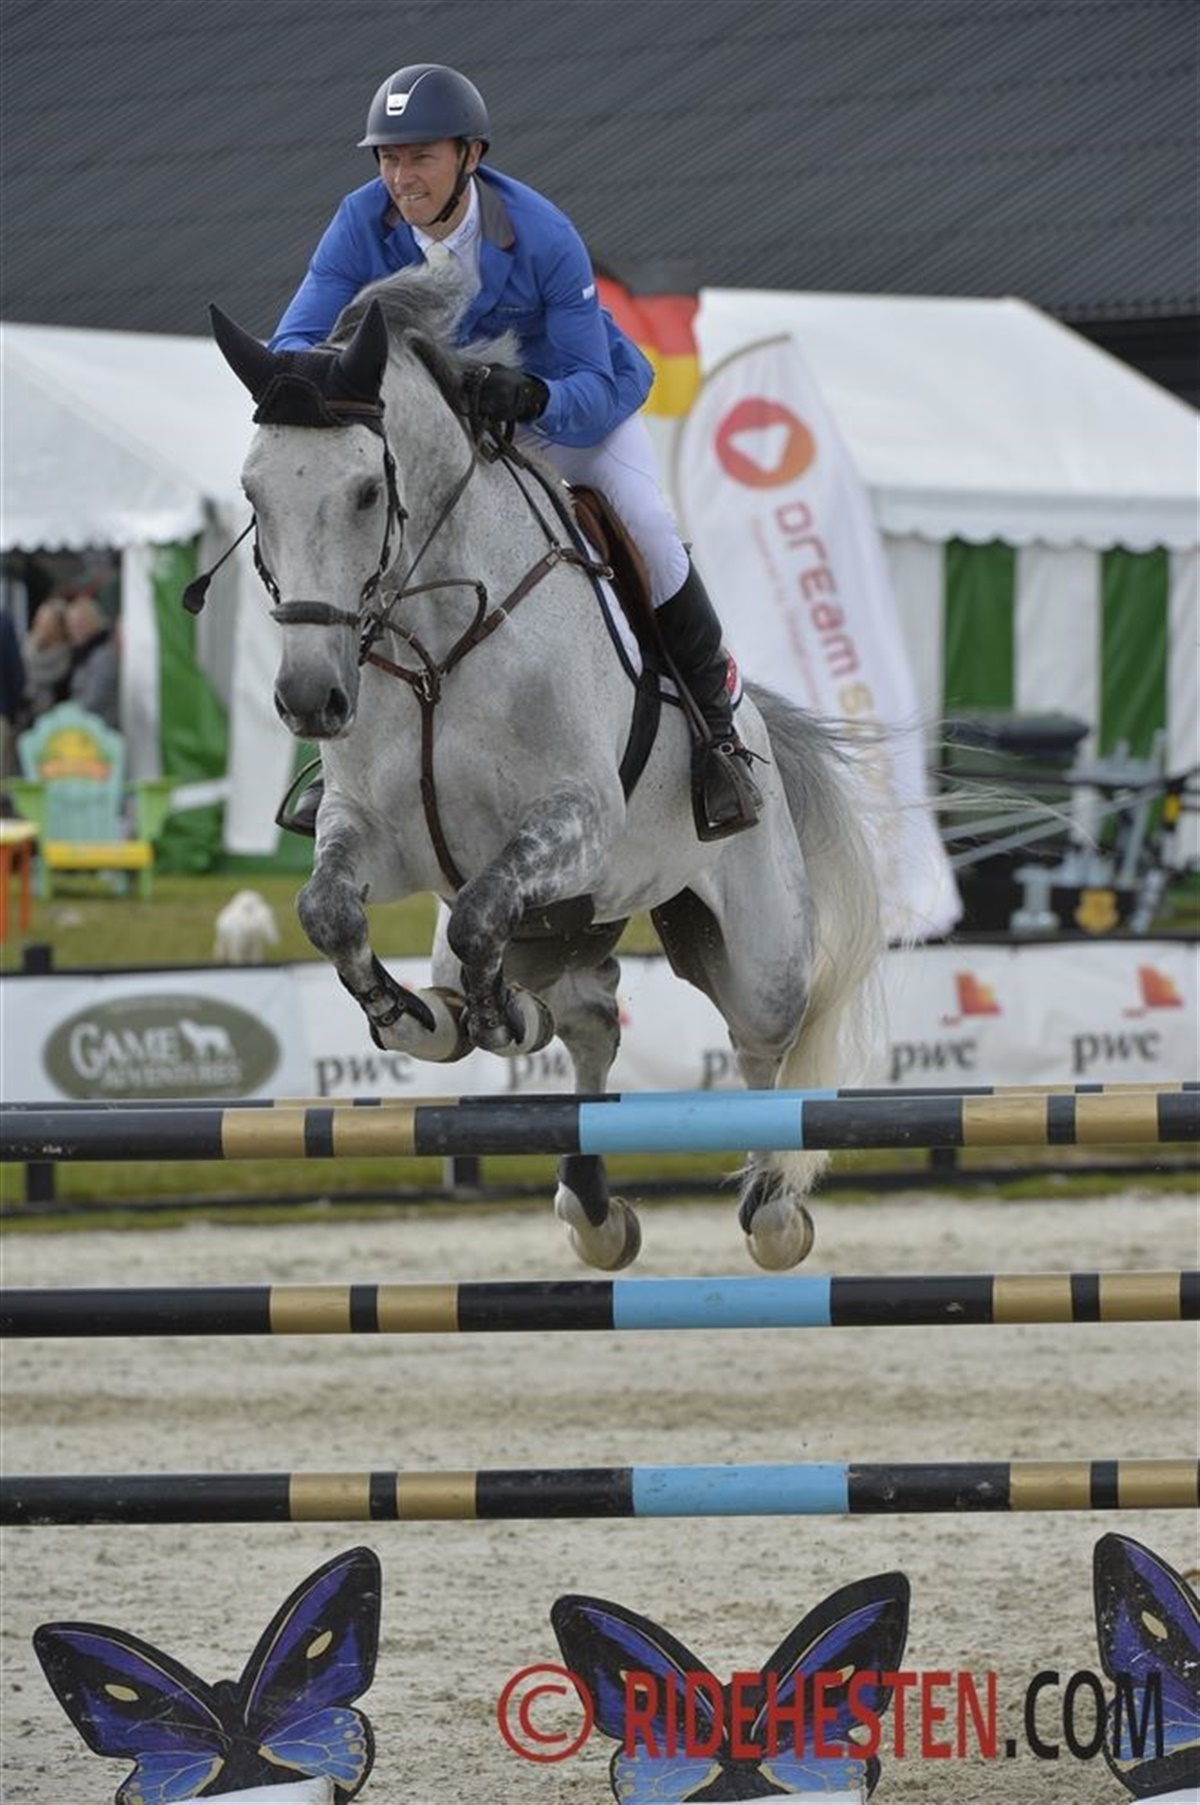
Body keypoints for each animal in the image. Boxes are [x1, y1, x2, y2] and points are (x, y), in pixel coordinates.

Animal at [208, 267, 885, 1271]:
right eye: (253, 491)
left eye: (368, 491)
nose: (307, 699)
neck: (434, 644)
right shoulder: (372, 833)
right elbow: (330, 910)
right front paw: (412, 1014)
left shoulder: (573, 821)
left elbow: (484, 910)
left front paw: (483, 1014)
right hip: (571, 921)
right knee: (589, 1018)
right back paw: (589, 1200)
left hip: (749, 944)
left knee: (762, 1044)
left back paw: (771, 1209)